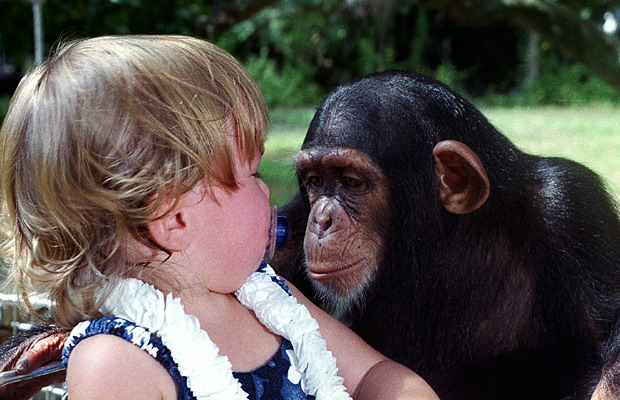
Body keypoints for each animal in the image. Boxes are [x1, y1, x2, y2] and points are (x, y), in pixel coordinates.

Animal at [274, 70, 620, 398]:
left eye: (351, 182)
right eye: (315, 181)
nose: (321, 220)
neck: (448, 237)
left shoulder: (570, 207)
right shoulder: (292, 220)